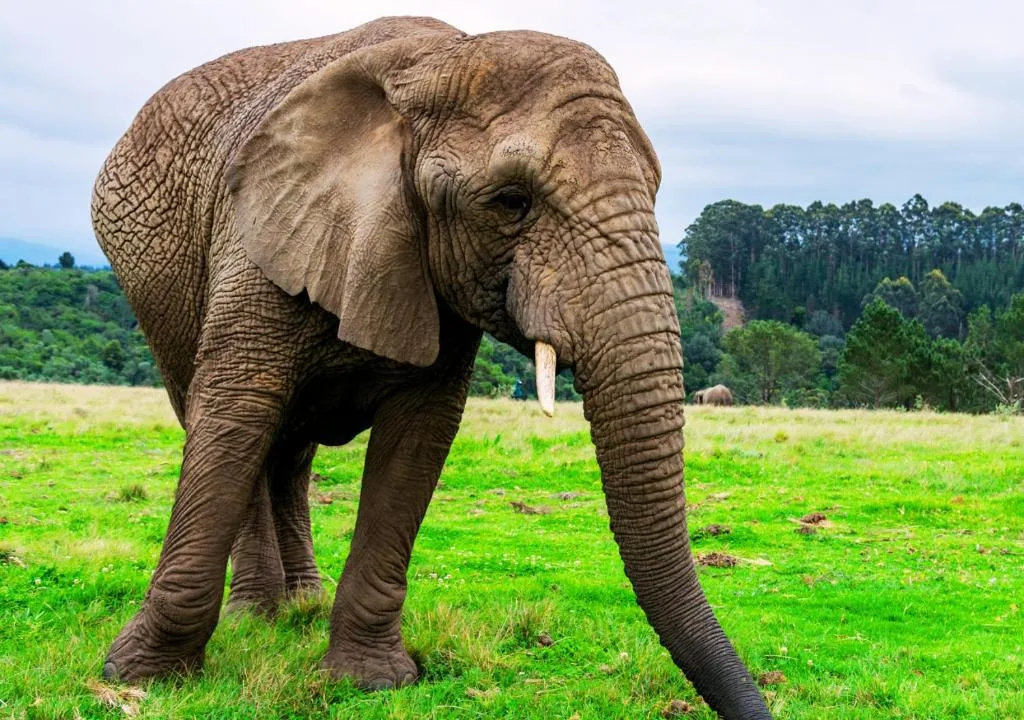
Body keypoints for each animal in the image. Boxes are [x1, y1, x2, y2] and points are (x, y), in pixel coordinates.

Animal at [90, 16, 770, 719]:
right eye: (511, 201)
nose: (762, 705)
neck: (439, 62)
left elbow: (418, 439)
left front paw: (370, 682)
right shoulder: (259, 239)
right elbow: (234, 413)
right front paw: (140, 675)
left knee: (291, 451)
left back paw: (300, 606)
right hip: (161, 304)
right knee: (237, 427)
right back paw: (257, 617)